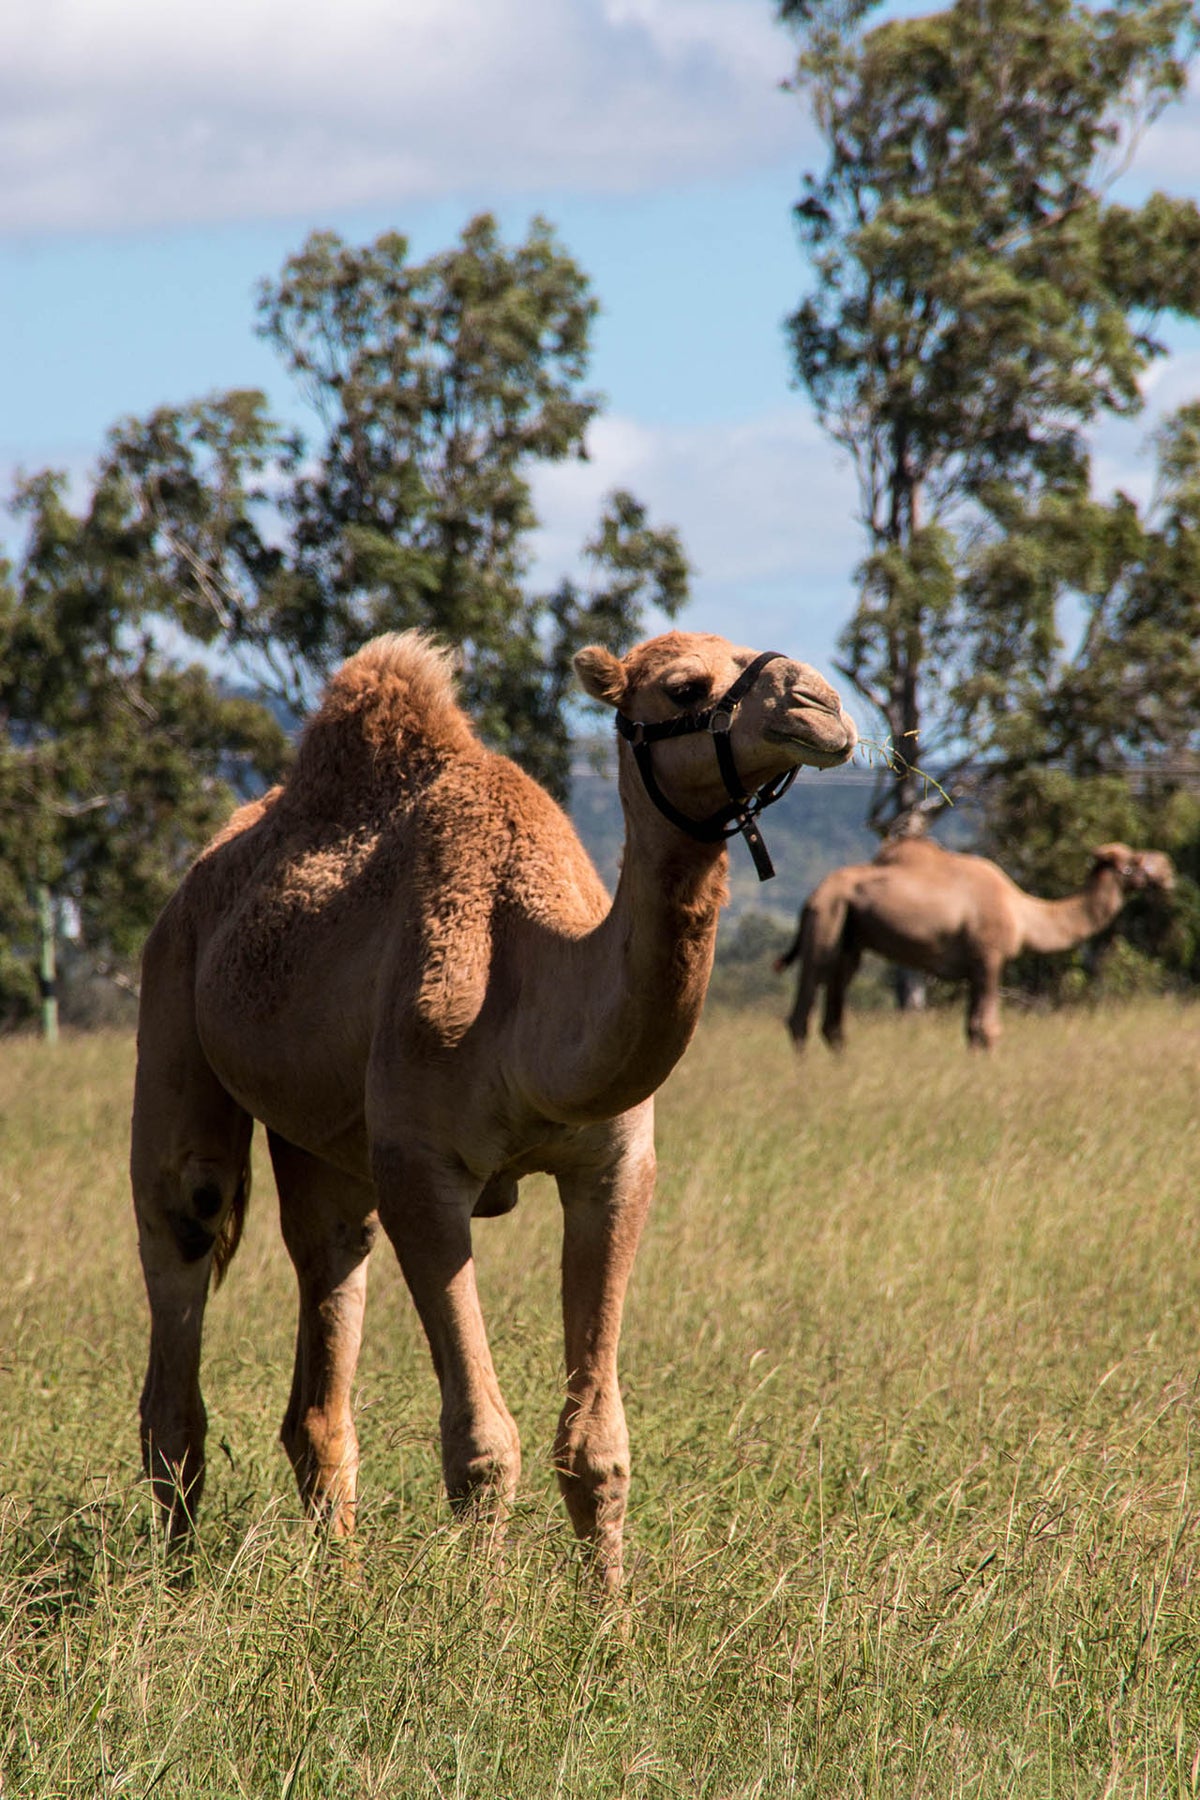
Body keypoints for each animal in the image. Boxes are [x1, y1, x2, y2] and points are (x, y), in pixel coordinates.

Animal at [135, 626, 859, 1584]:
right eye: (682, 687)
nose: (823, 705)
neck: (529, 988)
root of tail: (196, 874)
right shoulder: (422, 1168)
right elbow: (480, 1444)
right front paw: (480, 1614)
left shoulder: (613, 1166)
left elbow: (596, 1444)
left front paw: (610, 1615)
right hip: (172, 1004)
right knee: (184, 1241)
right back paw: (179, 1585)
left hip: (325, 1148)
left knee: (327, 1290)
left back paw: (343, 1583)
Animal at [773, 838, 1180, 1051]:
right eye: (1136, 860)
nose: (1167, 868)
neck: (1024, 914)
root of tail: (813, 896)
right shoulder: (989, 958)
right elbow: (988, 1029)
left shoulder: (972, 969)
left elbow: (971, 1029)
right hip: (825, 923)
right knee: (803, 1007)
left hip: (850, 937)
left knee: (833, 1017)